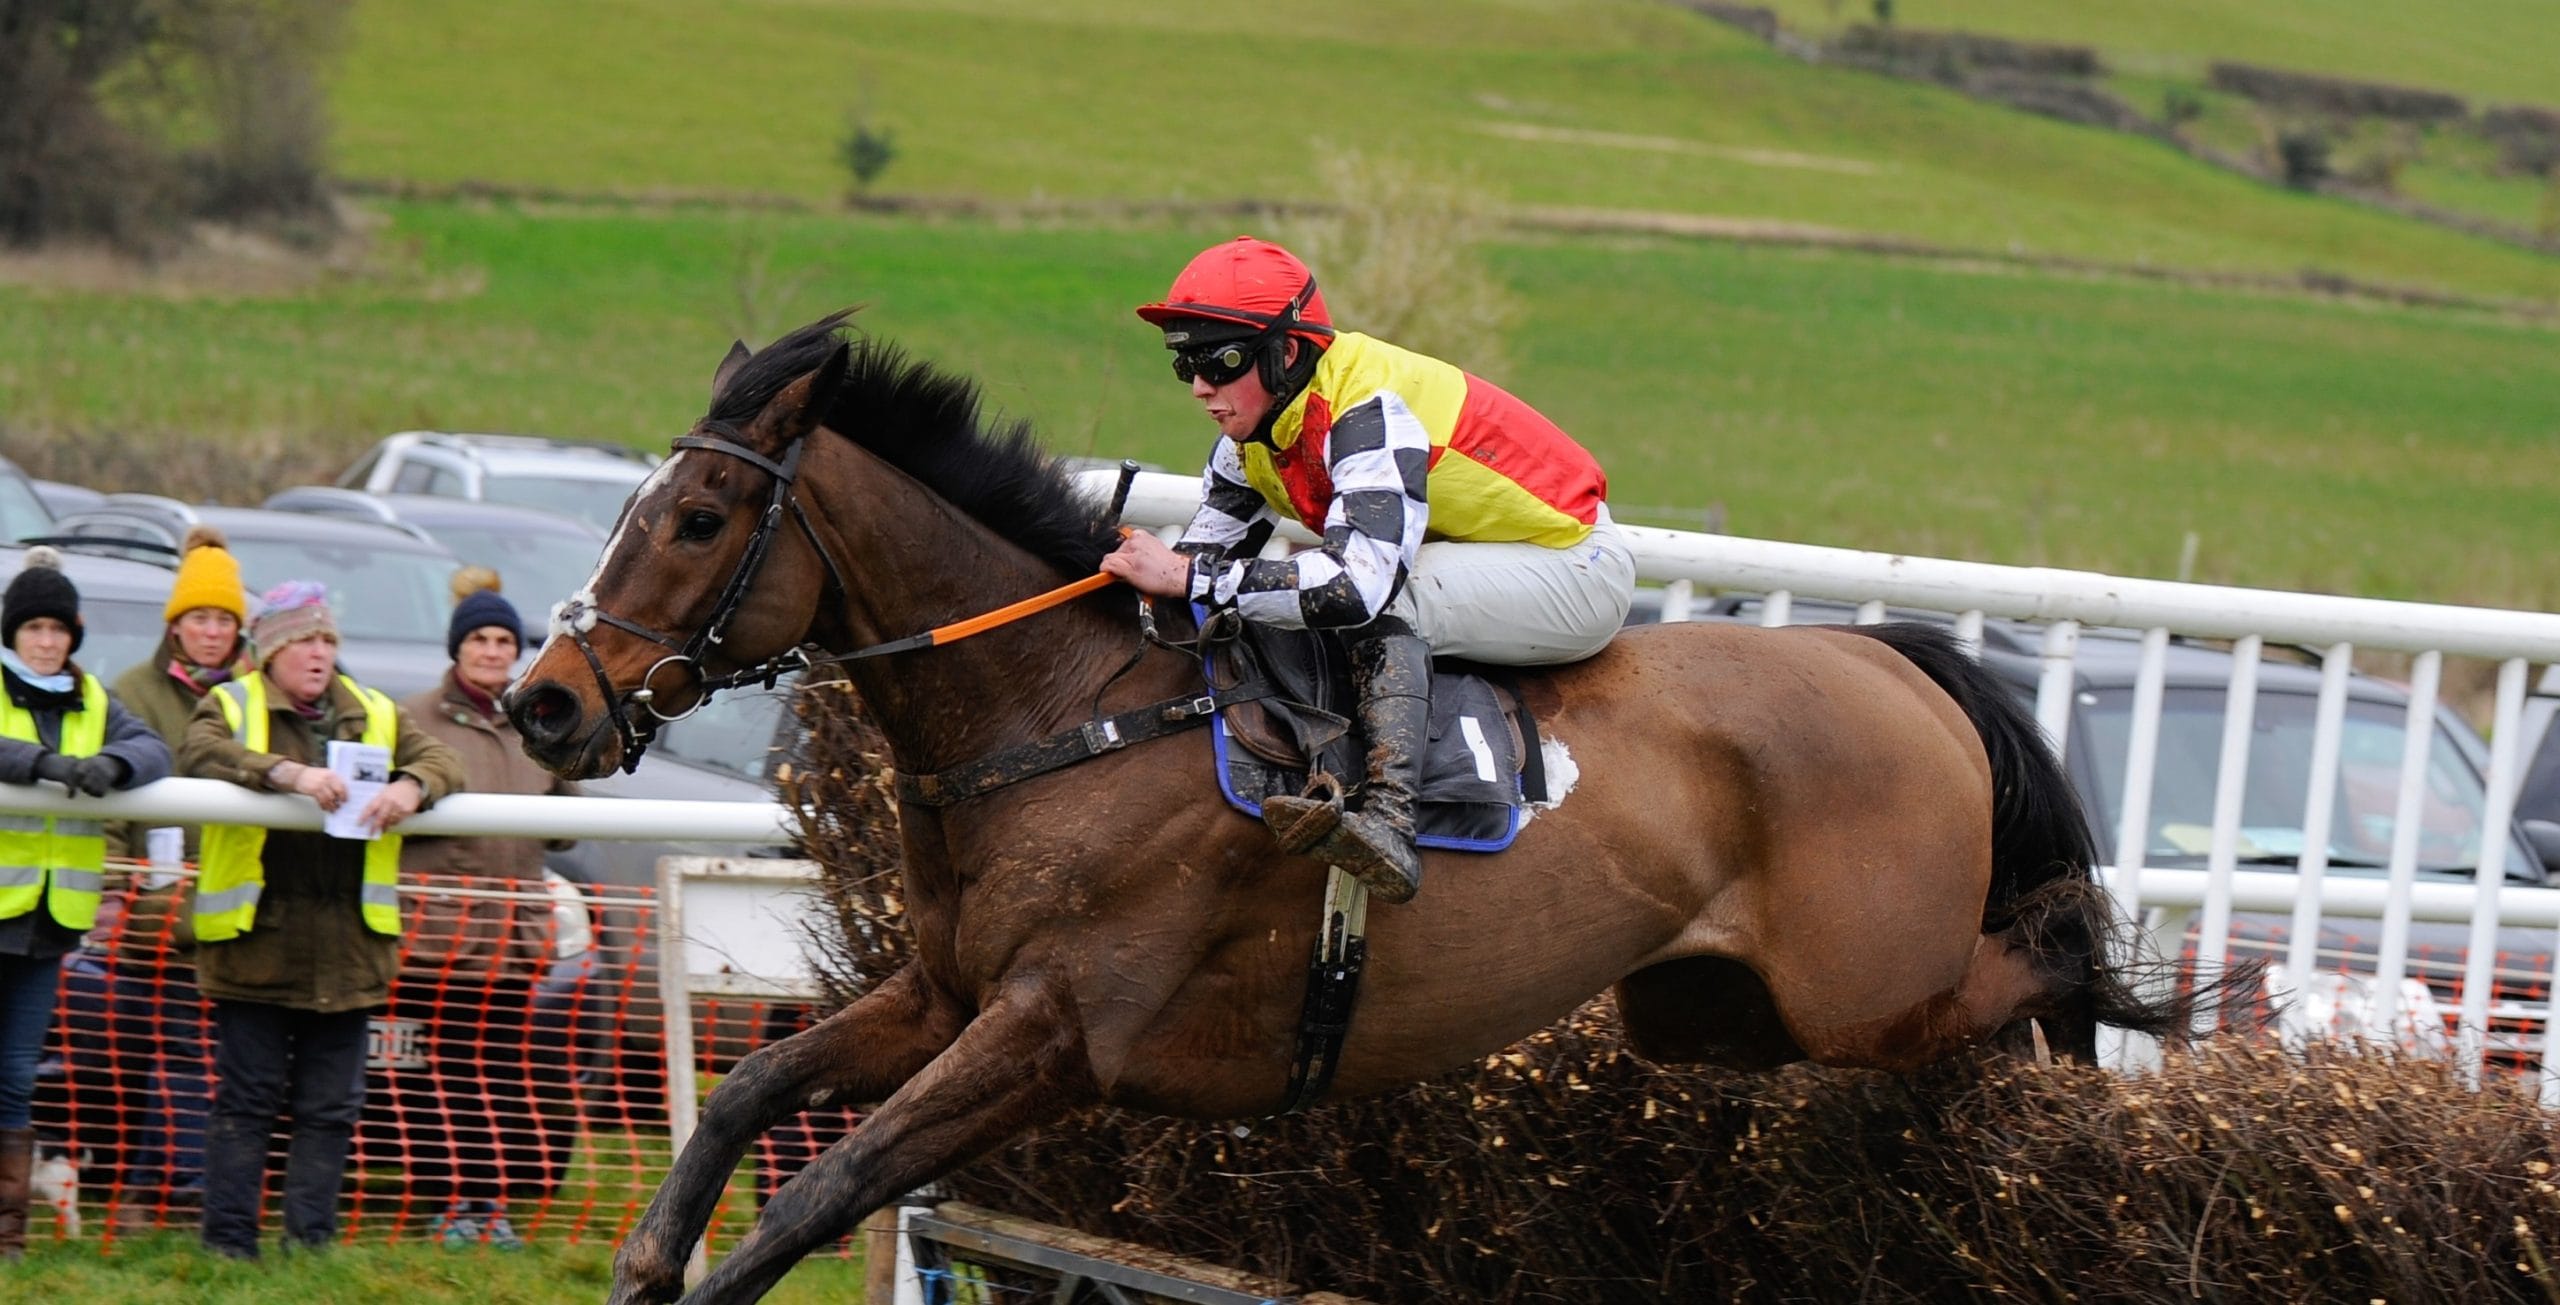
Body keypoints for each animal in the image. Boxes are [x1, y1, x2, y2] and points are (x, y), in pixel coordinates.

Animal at [506, 312, 2230, 1304]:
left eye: (698, 516)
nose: (547, 701)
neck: (1068, 713)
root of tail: (1890, 659)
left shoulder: (1056, 1032)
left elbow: (836, 1180)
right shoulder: (944, 991)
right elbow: (749, 1091)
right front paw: (647, 1261)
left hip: (1863, 986)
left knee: (2051, 953)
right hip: (1719, 1013)